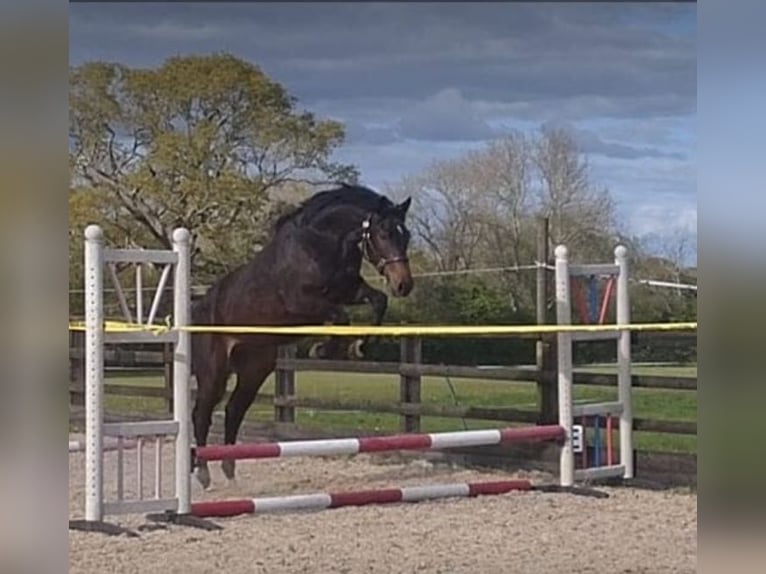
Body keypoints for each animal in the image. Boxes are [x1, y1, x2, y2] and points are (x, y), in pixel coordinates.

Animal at [190, 186, 414, 490]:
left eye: (406, 235)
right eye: (384, 233)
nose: (404, 285)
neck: (323, 243)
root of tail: (199, 308)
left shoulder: (348, 291)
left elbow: (379, 301)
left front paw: (359, 347)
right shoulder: (303, 302)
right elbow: (341, 318)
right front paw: (322, 349)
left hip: (254, 369)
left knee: (234, 410)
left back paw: (230, 470)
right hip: (214, 372)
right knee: (202, 413)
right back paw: (203, 473)